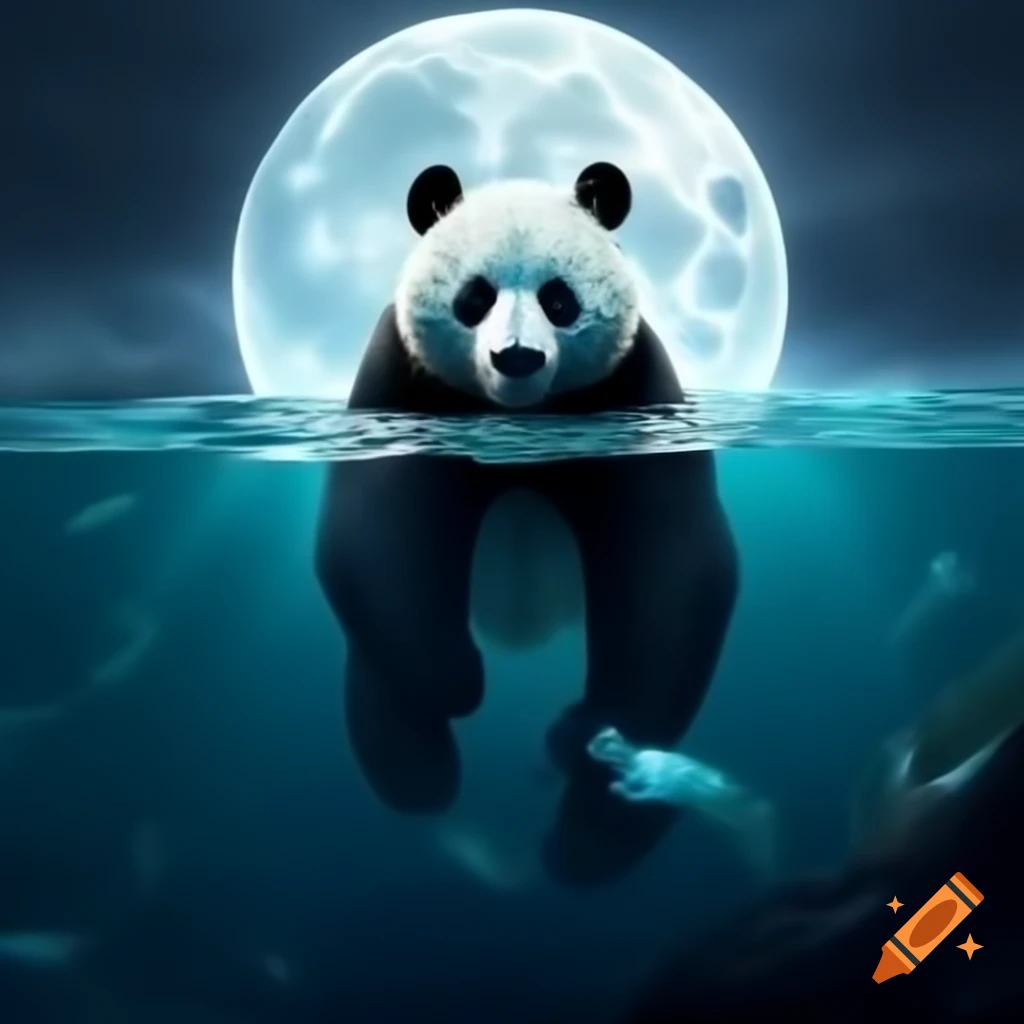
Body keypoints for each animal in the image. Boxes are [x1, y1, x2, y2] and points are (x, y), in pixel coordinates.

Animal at [316, 161, 739, 885]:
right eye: (474, 298)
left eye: (559, 301)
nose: (517, 360)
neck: (520, 422)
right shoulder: (400, 383)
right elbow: (372, 539)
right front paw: (460, 684)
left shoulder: (635, 394)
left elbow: (674, 573)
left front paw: (576, 737)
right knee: (380, 696)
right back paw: (423, 780)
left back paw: (585, 842)